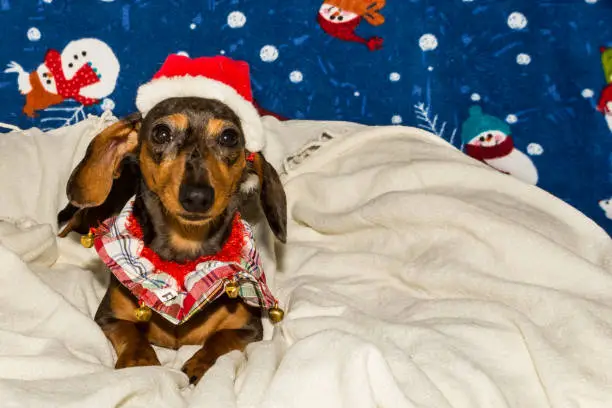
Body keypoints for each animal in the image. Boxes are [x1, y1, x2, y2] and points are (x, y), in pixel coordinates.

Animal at [59, 97, 286, 384]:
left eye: (229, 137)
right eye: (161, 133)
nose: (197, 197)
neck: (183, 251)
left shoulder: (248, 328)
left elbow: (221, 338)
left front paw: (199, 364)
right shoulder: (109, 317)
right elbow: (132, 335)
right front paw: (140, 361)